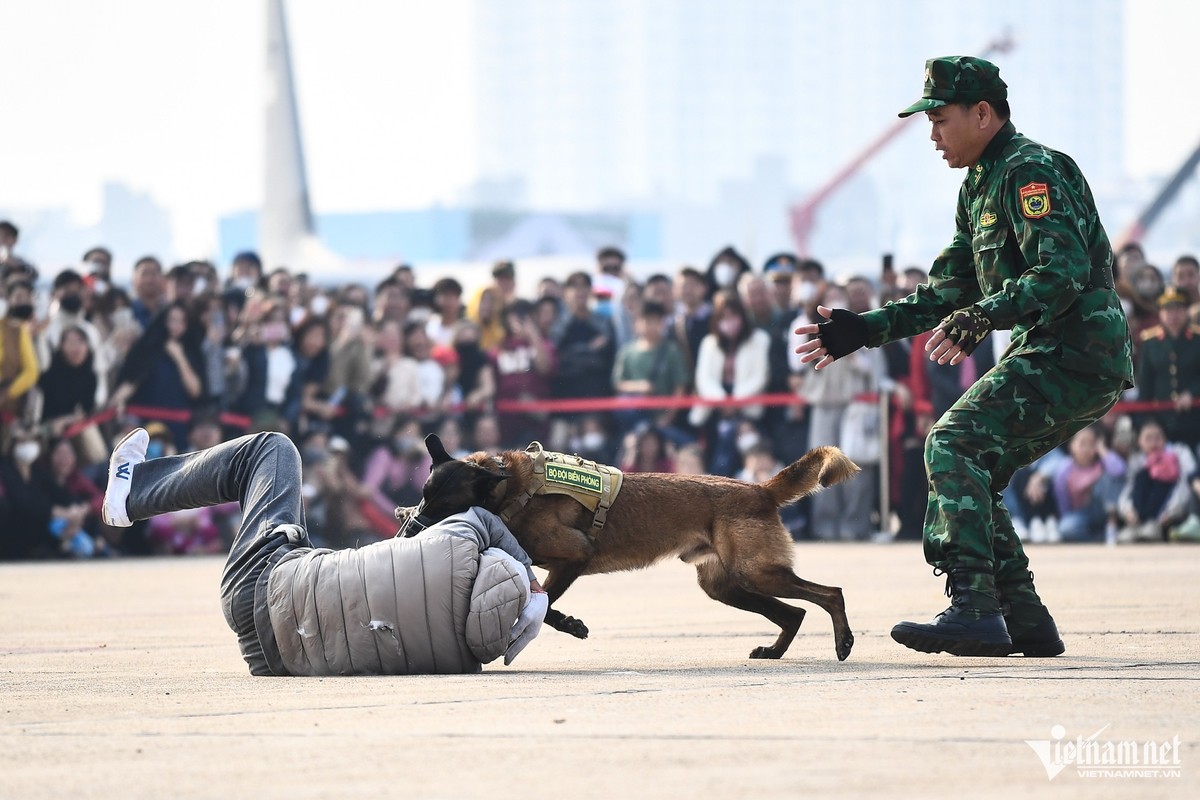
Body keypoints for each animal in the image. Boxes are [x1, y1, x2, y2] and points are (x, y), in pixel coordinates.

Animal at [403, 434, 864, 662]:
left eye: (446, 506)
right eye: (424, 495)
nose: (407, 534)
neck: (512, 488)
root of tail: (760, 489)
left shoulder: (575, 557)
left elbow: (544, 606)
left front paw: (571, 624)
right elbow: (540, 603)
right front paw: (570, 623)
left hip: (755, 573)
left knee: (830, 594)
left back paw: (843, 642)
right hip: (728, 586)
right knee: (795, 613)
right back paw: (774, 651)